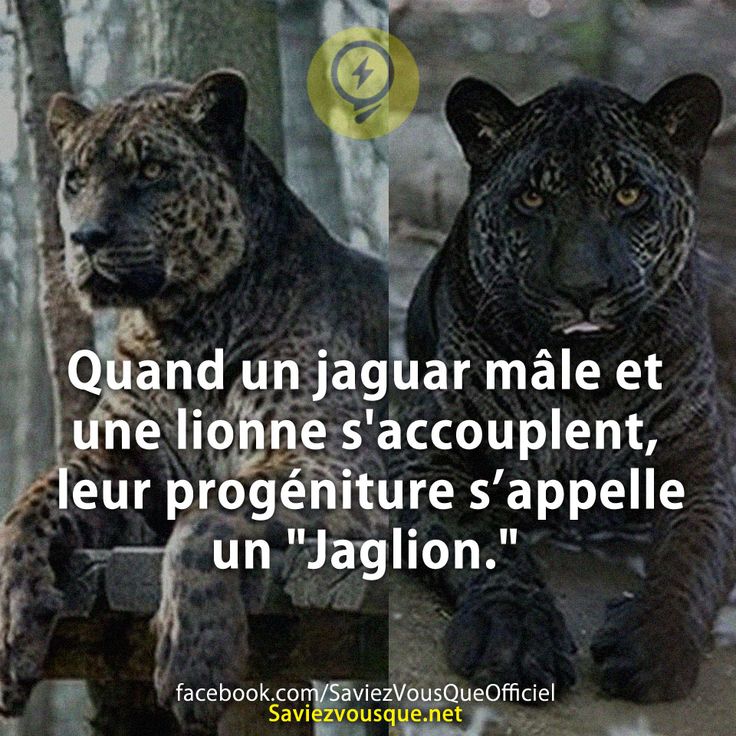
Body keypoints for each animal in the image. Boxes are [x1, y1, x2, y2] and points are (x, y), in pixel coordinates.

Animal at [0, 69, 387, 733]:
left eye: (152, 171)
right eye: (75, 179)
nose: (85, 237)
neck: (184, 327)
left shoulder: (331, 462)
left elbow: (206, 517)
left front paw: (193, 658)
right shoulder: (119, 463)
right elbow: (27, 505)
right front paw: (13, 629)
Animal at [392, 74, 736, 703]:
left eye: (629, 196)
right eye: (531, 199)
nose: (583, 289)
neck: (584, 366)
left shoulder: (700, 469)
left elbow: (690, 556)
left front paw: (652, 643)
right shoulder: (430, 454)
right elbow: (484, 540)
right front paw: (512, 634)